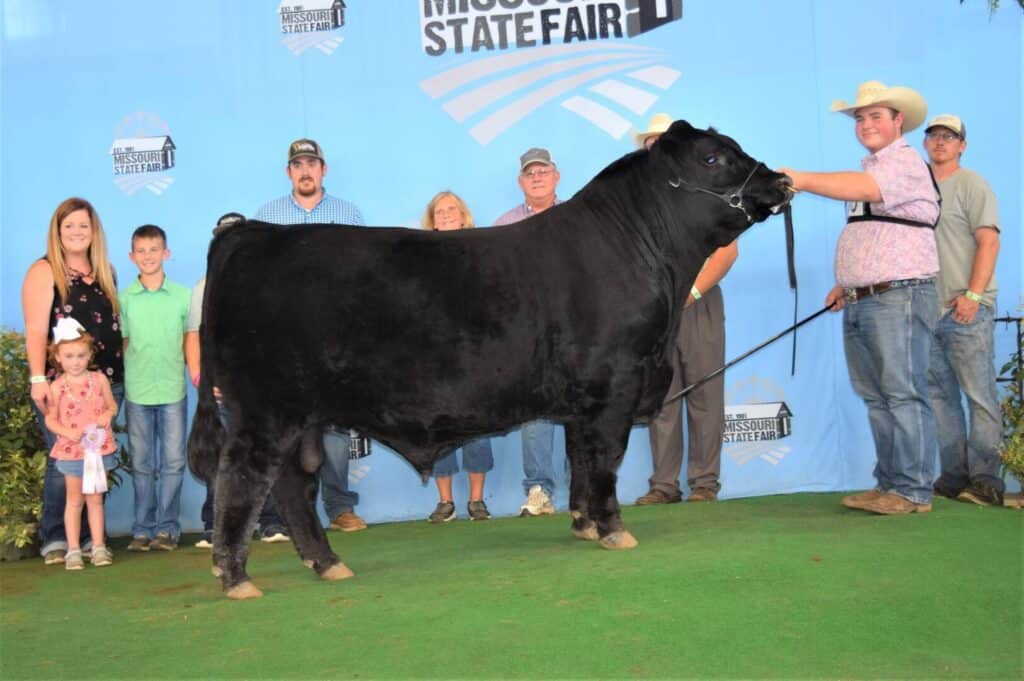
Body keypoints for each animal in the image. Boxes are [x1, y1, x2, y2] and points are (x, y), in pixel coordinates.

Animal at [188, 120, 792, 599]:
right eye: (712, 158)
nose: (782, 181)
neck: (640, 252)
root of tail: (249, 232)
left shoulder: (584, 402)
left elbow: (580, 460)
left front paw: (582, 524)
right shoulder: (615, 386)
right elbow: (606, 463)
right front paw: (614, 529)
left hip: (300, 417)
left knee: (294, 485)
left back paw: (327, 563)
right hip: (266, 410)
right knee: (242, 478)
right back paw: (236, 576)